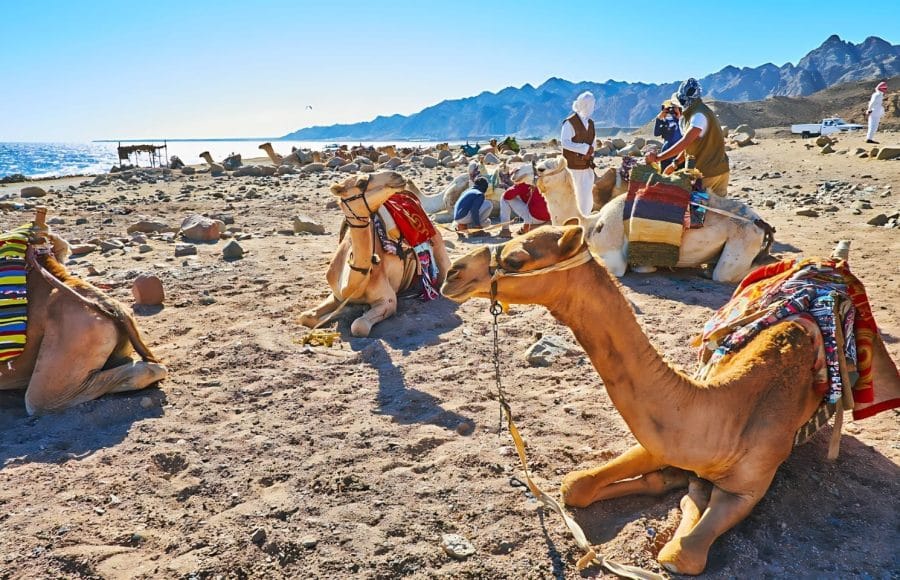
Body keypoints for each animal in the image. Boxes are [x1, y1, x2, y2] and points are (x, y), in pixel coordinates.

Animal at [298, 171, 451, 337]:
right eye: (360, 183)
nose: (397, 175)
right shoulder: (337, 294)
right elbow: (305, 317)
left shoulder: (388, 300)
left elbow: (359, 326)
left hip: (438, 247)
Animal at [442, 225, 898, 575]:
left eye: (516, 259)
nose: (451, 273)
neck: (726, 411)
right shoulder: (662, 439)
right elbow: (575, 485)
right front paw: (678, 483)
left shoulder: (749, 488)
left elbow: (680, 555)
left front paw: (688, 492)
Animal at [535, 156, 769, 283]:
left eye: (541, 168)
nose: (531, 174)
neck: (591, 223)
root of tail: (760, 224)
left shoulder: (613, 259)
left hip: (741, 245)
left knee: (728, 274)